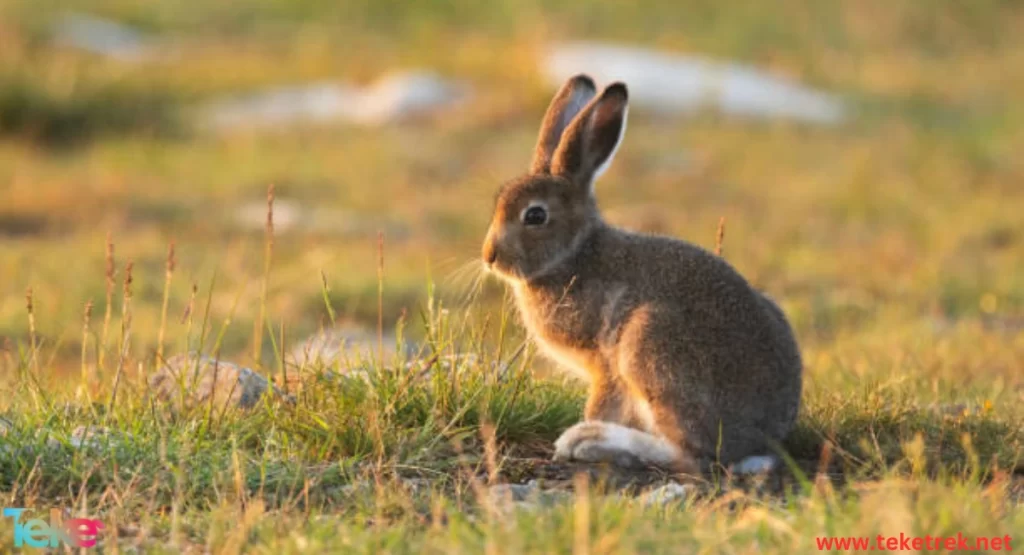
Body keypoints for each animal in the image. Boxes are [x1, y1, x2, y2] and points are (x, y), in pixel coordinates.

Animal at [479, 72, 798, 475]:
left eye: (535, 215)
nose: (489, 256)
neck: (575, 254)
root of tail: (761, 441)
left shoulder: (604, 364)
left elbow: (602, 404)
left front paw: (583, 432)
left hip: (649, 345)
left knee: (690, 455)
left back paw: (589, 441)